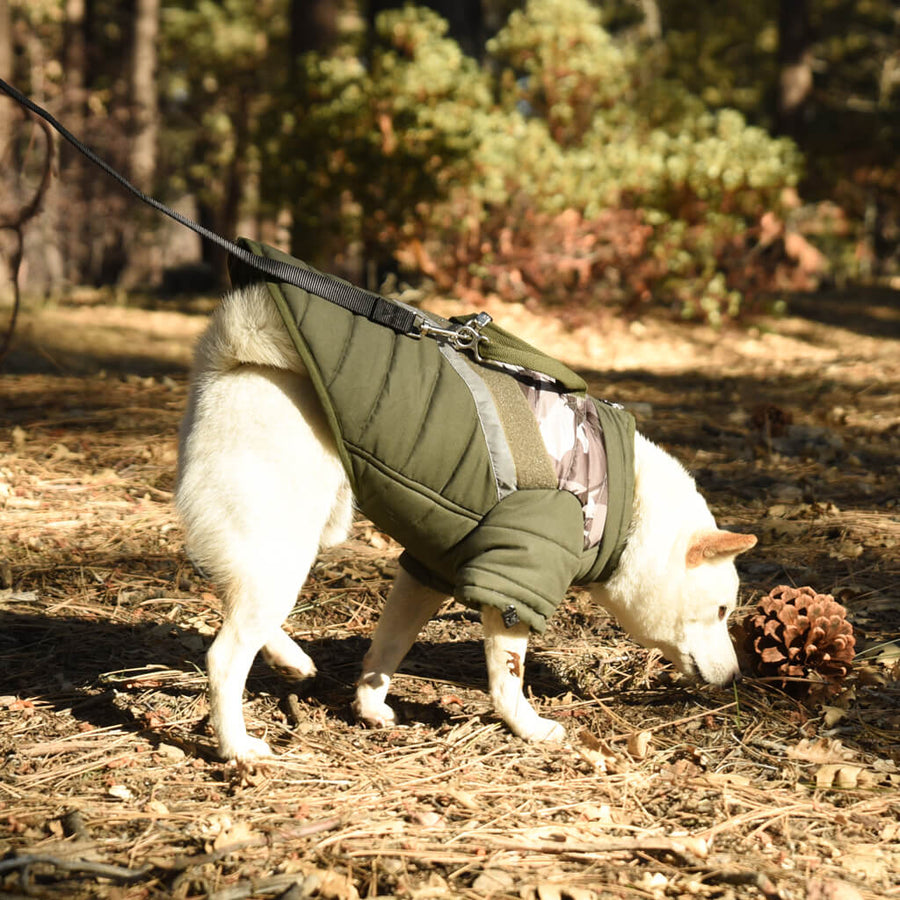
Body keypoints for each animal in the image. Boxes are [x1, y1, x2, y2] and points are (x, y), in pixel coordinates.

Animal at [174, 284, 752, 764]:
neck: (624, 502)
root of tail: (233, 358)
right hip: (285, 545)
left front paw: (370, 706)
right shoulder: (514, 583)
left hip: (281, 544)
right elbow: (507, 679)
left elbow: (388, 647)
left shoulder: (429, 569)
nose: (735, 676)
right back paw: (237, 747)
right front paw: (529, 729)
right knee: (224, 656)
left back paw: (291, 660)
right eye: (723, 611)